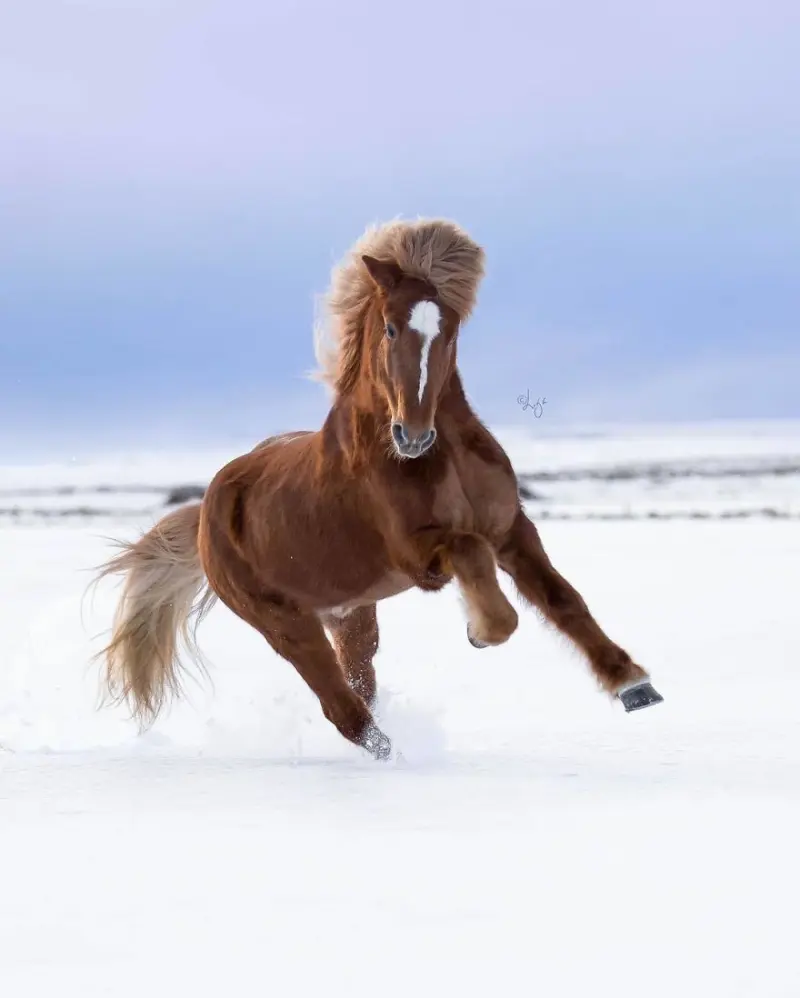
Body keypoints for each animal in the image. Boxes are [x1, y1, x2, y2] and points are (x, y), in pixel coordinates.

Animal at [94, 217, 662, 760]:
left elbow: (564, 599)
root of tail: (208, 509)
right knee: (339, 704)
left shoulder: (512, 529)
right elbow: (478, 565)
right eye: (390, 328)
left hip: (350, 614)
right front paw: (480, 631)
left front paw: (633, 684)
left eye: (450, 330)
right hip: (284, 623)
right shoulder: (422, 554)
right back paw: (390, 751)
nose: (412, 435)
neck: (440, 458)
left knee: (358, 681)